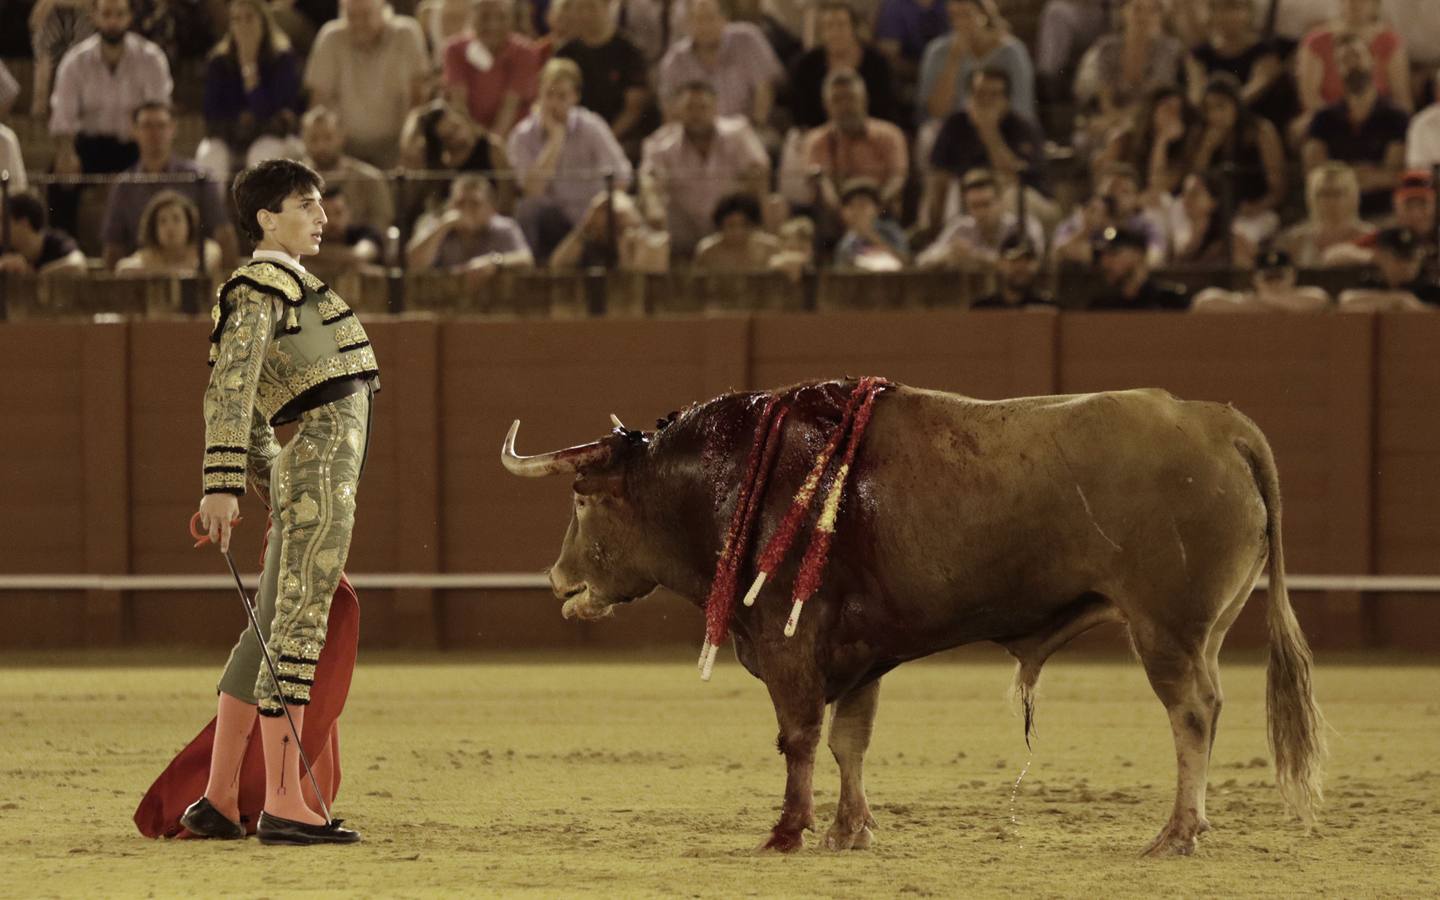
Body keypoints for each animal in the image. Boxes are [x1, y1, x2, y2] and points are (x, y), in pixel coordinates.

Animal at [501, 374, 1319, 852]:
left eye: (581, 499)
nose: (558, 581)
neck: (735, 479)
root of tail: (1218, 423)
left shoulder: (788, 644)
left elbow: (800, 738)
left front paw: (788, 832)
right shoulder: (859, 654)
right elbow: (849, 742)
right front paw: (849, 830)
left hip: (1166, 629)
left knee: (1192, 713)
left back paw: (1176, 833)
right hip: (1204, 632)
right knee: (1208, 706)